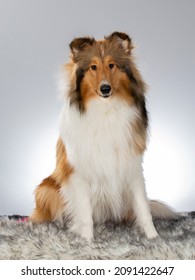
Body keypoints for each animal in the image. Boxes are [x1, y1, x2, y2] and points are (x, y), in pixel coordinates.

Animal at [29, 30, 177, 241]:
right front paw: (87, 240)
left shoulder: (132, 166)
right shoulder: (78, 172)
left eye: (111, 65)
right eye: (93, 67)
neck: (105, 110)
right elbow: (84, 213)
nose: (105, 88)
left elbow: (143, 207)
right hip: (46, 188)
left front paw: (153, 237)